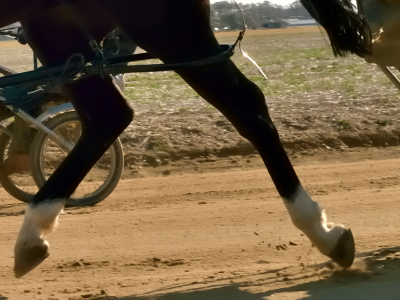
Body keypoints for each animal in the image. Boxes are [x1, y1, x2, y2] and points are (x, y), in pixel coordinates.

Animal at [3, 0, 354, 278]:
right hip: (56, 20)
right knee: (108, 115)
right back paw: (33, 233)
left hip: (163, 21)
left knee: (246, 105)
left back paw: (320, 230)